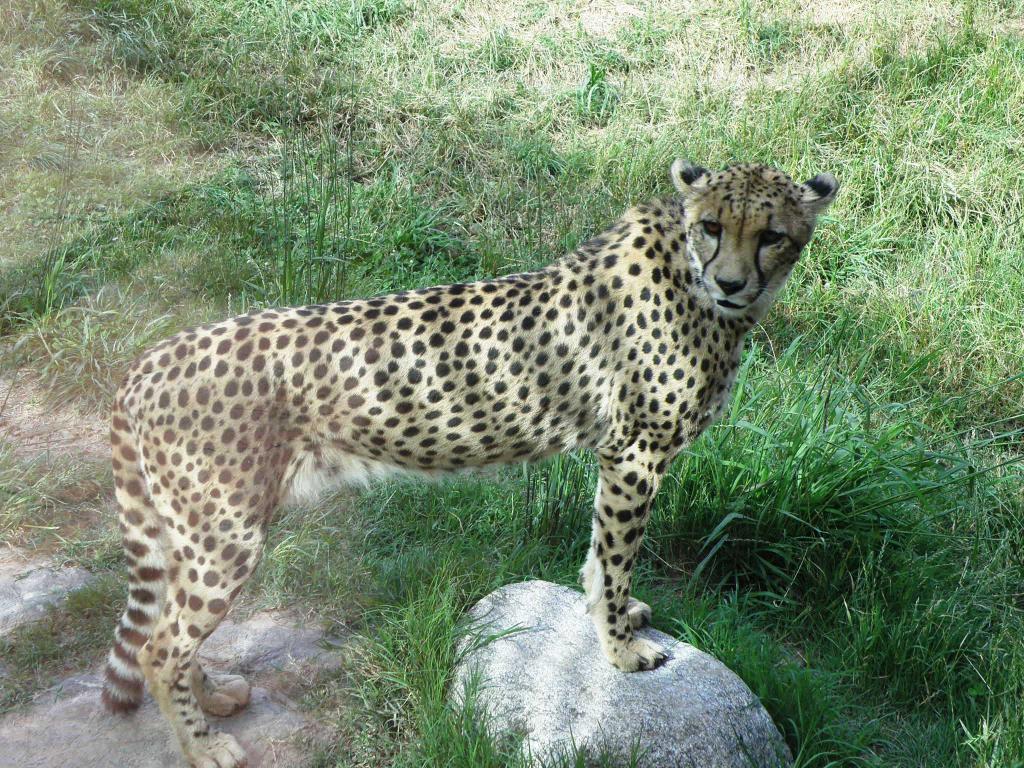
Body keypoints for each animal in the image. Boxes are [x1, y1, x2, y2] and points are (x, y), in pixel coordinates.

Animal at [101, 159, 839, 765]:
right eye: (712, 226)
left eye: (772, 234)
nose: (732, 282)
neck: (692, 278)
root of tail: (146, 361)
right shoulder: (634, 454)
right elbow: (616, 555)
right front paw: (619, 648)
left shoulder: (620, 456)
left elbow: (600, 557)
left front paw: (616, 617)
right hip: (225, 533)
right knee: (159, 646)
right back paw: (203, 747)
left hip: (193, 531)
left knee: (169, 628)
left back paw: (213, 695)